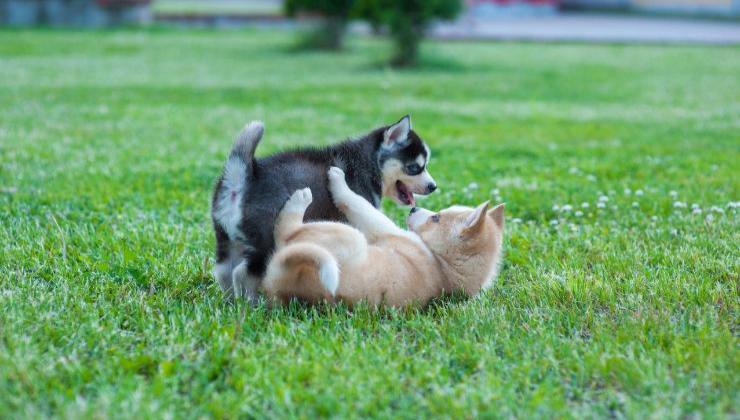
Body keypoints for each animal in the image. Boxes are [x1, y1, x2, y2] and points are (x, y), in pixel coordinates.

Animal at [211, 115, 436, 298]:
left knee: (224, 271)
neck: (368, 162)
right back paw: (251, 302)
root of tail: (243, 177)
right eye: (415, 168)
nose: (433, 187)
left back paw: (231, 301)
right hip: (265, 241)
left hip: (226, 238)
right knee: (243, 273)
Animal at [258, 166, 502, 306]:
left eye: (436, 218)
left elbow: (356, 202)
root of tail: (280, 283)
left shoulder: (384, 228)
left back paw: (300, 199)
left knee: (285, 234)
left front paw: (339, 180)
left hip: (347, 236)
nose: (413, 209)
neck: (445, 267)